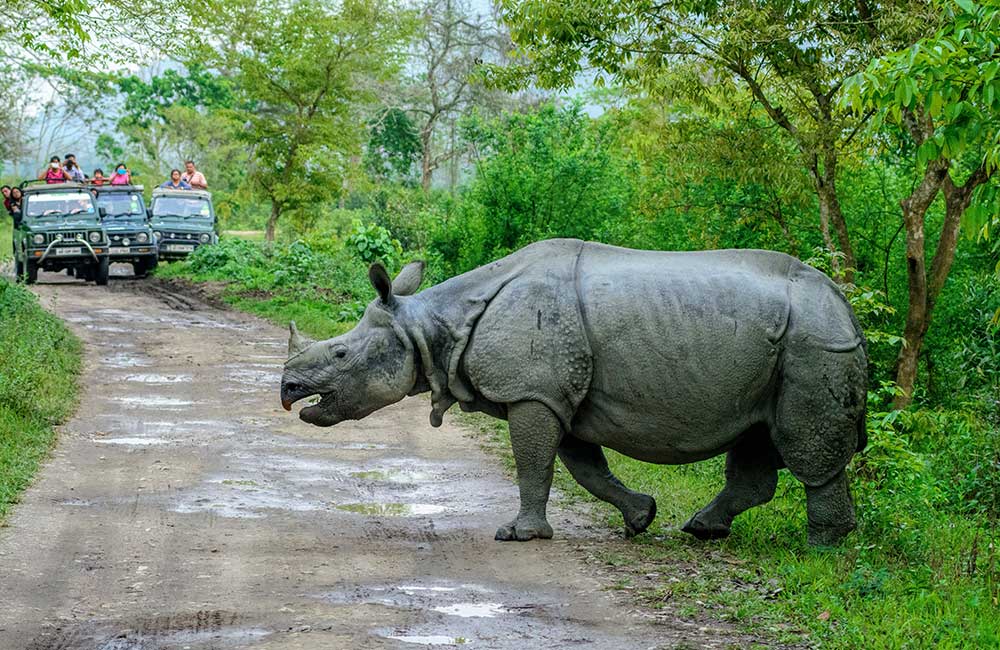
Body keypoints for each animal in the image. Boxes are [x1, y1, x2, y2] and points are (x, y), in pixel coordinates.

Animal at [282, 237, 868, 540]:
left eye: (340, 355)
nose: (288, 391)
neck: (429, 326)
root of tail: (845, 303)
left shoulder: (533, 390)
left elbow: (534, 464)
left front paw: (518, 535)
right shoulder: (555, 392)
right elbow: (584, 468)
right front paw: (640, 517)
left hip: (814, 343)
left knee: (806, 445)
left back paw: (820, 549)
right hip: (780, 349)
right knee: (756, 437)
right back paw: (704, 530)